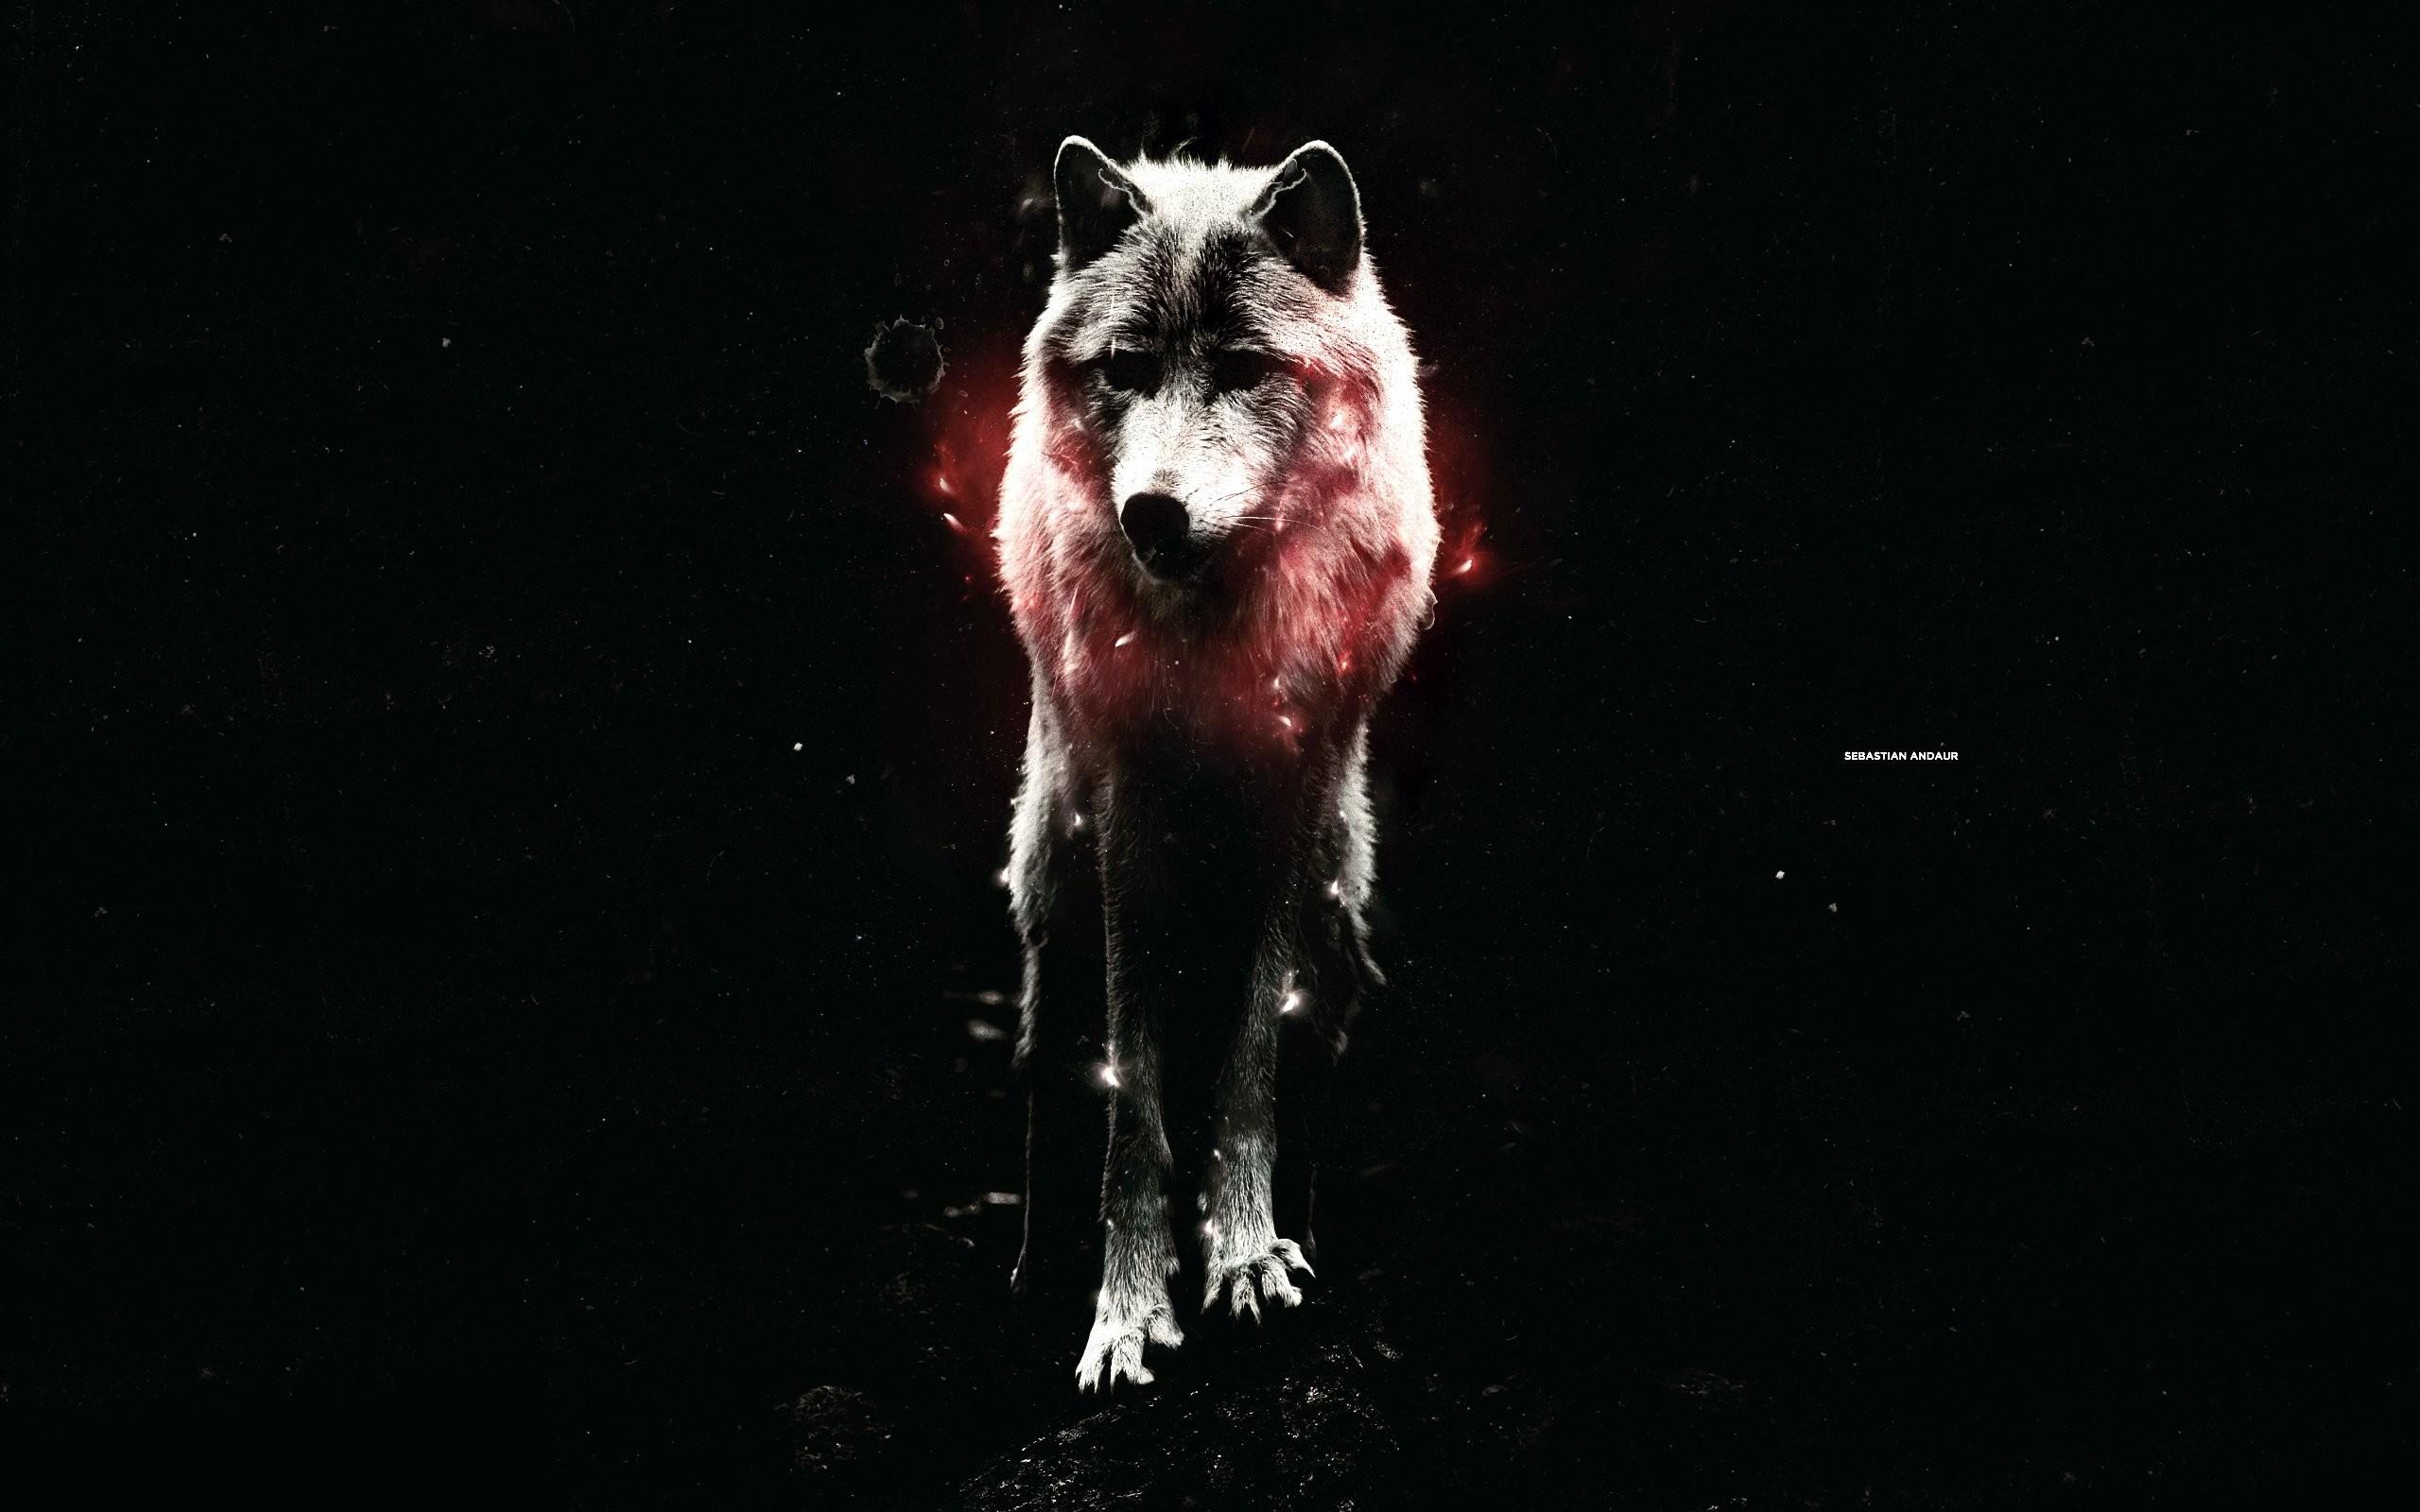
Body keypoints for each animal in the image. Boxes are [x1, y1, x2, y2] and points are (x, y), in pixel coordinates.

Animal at [993, 135, 1439, 1393]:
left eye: (1243, 368)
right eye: (1126, 368)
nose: (1152, 513)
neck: (1212, 640)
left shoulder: (1292, 806)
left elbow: (1247, 1063)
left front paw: (1245, 1256)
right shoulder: (1124, 814)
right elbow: (1131, 1099)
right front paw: (1125, 1307)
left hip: (1340, 902)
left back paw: (1302, 1227)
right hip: (1051, 889)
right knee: (1049, 1067)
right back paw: (1034, 1270)